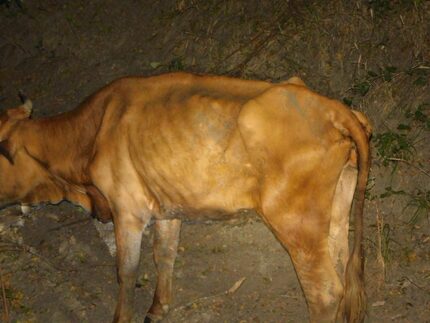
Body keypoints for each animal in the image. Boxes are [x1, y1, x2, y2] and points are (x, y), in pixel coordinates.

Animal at [0, 73, 370, 323]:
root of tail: (331, 108)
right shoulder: (166, 208)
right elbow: (163, 255)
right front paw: (157, 308)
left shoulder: (127, 211)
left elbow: (126, 271)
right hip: (337, 207)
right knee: (340, 269)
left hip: (295, 222)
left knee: (324, 291)